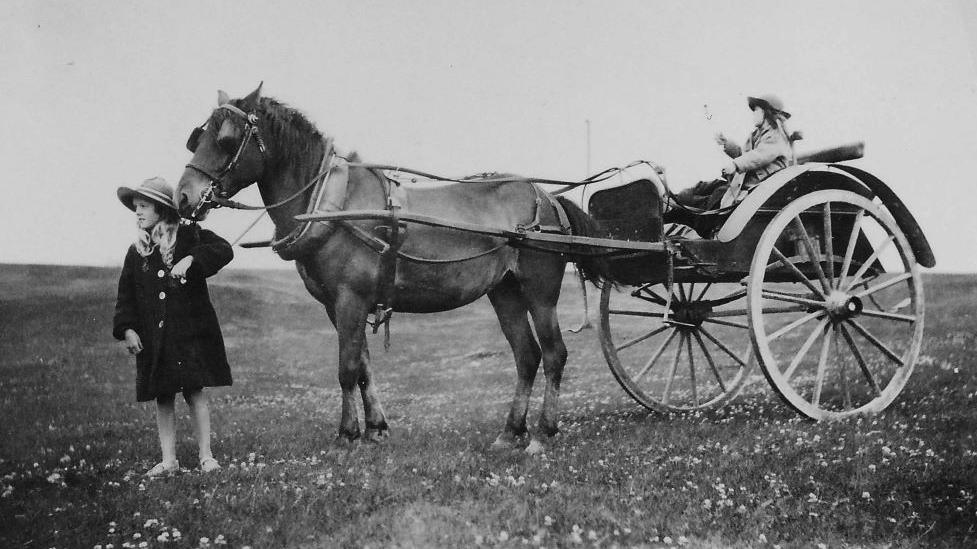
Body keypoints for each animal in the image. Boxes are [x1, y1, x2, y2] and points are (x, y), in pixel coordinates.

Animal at [175, 82, 608, 450]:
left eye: (226, 139)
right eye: (198, 137)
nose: (184, 197)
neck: (333, 205)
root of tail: (546, 198)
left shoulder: (350, 299)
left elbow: (347, 367)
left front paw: (348, 433)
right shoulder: (337, 305)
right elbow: (364, 366)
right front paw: (376, 428)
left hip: (539, 291)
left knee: (553, 354)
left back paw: (544, 432)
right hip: (505, 292)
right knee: (527, 356)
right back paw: (511, 431)